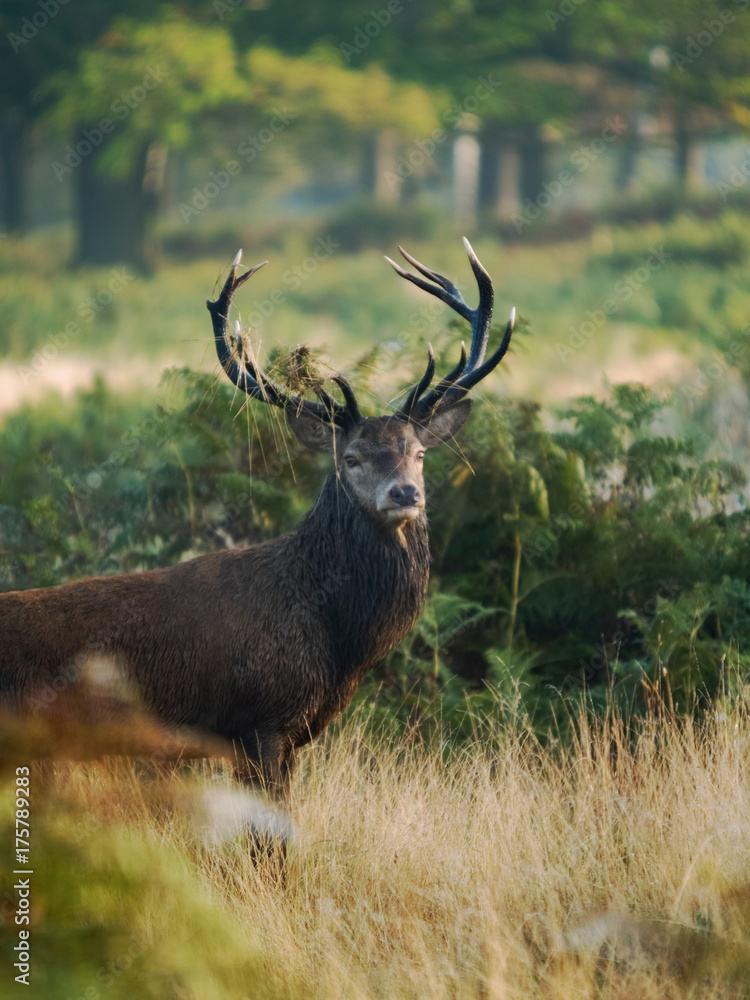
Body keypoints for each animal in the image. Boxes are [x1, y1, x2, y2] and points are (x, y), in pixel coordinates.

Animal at [0, 238, 514, 799]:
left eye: (418, 452)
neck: (338, 642)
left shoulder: (294, 734)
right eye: (351, 458)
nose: (406, 492)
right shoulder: (257, 720)